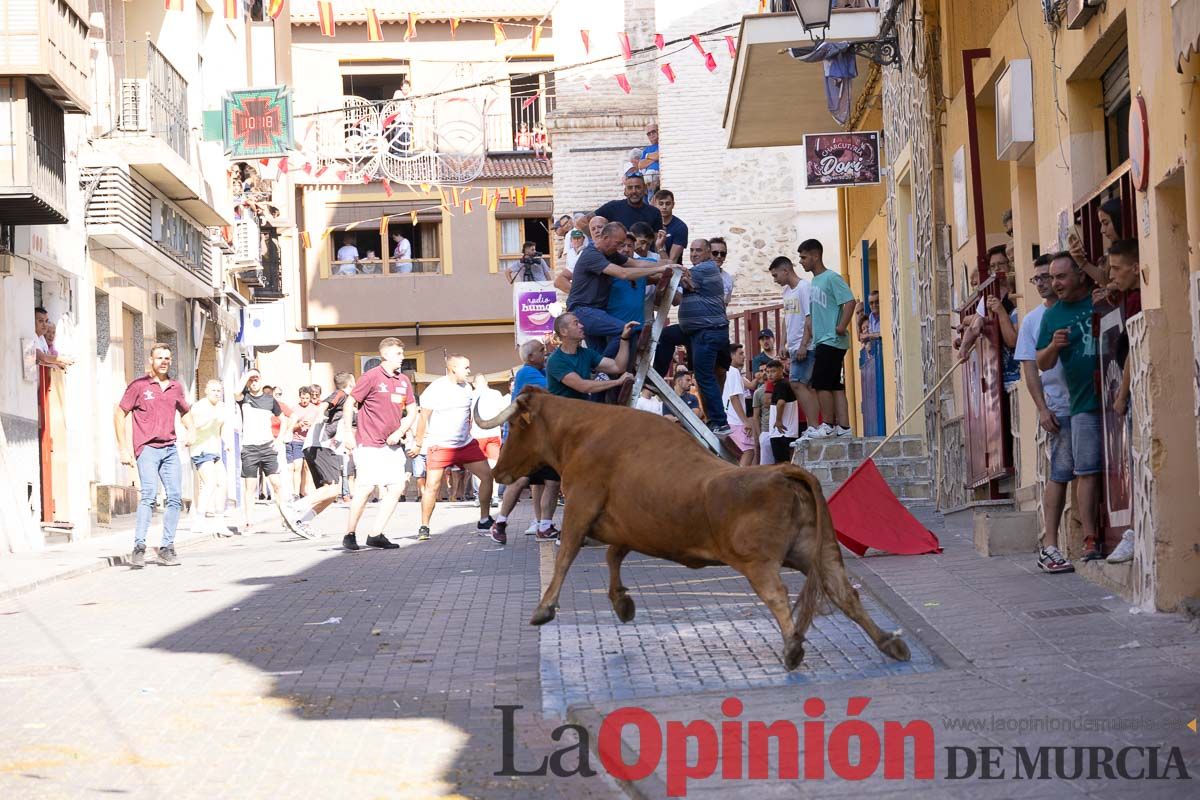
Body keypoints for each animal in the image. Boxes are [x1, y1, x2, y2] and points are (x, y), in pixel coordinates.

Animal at [477, 388, 907, 671]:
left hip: (758, 562)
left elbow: (567, 555)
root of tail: (784, 470)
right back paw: (888, 643)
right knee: (845, 593)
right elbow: (613, 555)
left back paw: (793, 648)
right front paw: (622, 602)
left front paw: (543, 609)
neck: (583, 432)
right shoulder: (627, 526)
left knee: (778, 595)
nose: (499, 471)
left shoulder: (581, 507)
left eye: (515, 425)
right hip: (817, 552)